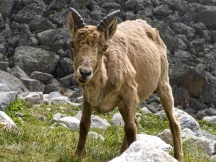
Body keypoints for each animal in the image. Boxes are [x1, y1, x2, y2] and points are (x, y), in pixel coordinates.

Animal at [66, 7, 183, 161]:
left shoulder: (130, 93)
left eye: (104, 47)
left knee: (173, 121)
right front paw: (78, 153)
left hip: (163, 82)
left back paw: (178, 155)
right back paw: (122, 152)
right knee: (135, 121)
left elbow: (130, 128)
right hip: (123, 105)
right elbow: (84, 123)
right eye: (72, 44)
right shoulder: (87, 97)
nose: (85, 72)